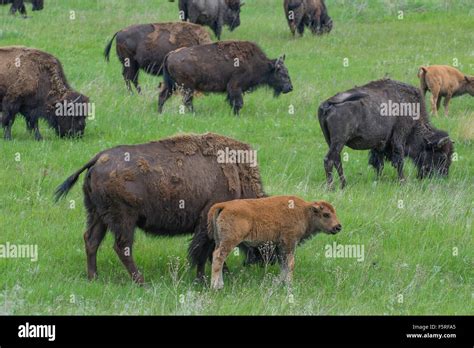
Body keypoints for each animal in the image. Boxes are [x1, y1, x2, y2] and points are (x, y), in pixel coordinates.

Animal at [54, 133, 266, 282]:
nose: (265, 262)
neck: (237, 175)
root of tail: (98, 159)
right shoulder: (205, 225)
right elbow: (203, 253)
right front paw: (203, 280)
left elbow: (212, 252)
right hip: (124, 219)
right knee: (122, 247)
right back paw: (140, 281)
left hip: (97, 215)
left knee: (91, 241)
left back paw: (94, 277)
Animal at [159, 40, 292, 114]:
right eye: (282, 73)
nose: (290, 88)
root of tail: (171, 54)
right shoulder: (235, 87)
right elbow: (238, 103)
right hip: (186, 87)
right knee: (187, 101)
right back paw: (194, 113)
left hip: (171, 85)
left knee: (163, 96)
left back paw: (160, 112)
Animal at [207, 196, 340, 288]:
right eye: (326, 214)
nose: (338, 227)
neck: (305, 212)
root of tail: (224, 205)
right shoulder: (289, 243)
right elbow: (290, 264)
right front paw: (289, 284)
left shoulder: (280, 247)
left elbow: (283, 264)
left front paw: (280, 282)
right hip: (230, 242)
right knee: (218, 258)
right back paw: (216, 286)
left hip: (220, 241)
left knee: (218, 258)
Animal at [318, 78, 456, 189]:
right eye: (443, 156)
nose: (444, 175)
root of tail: (327, 104)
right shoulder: (399, 139)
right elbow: (399, 160)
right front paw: (403, 181)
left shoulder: (379, 144)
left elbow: (379, 163)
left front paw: (379, 179)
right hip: (339, 141)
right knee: (329, 160)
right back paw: (332, 187)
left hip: (331, 141)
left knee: (337, 160)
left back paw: (343, 184)